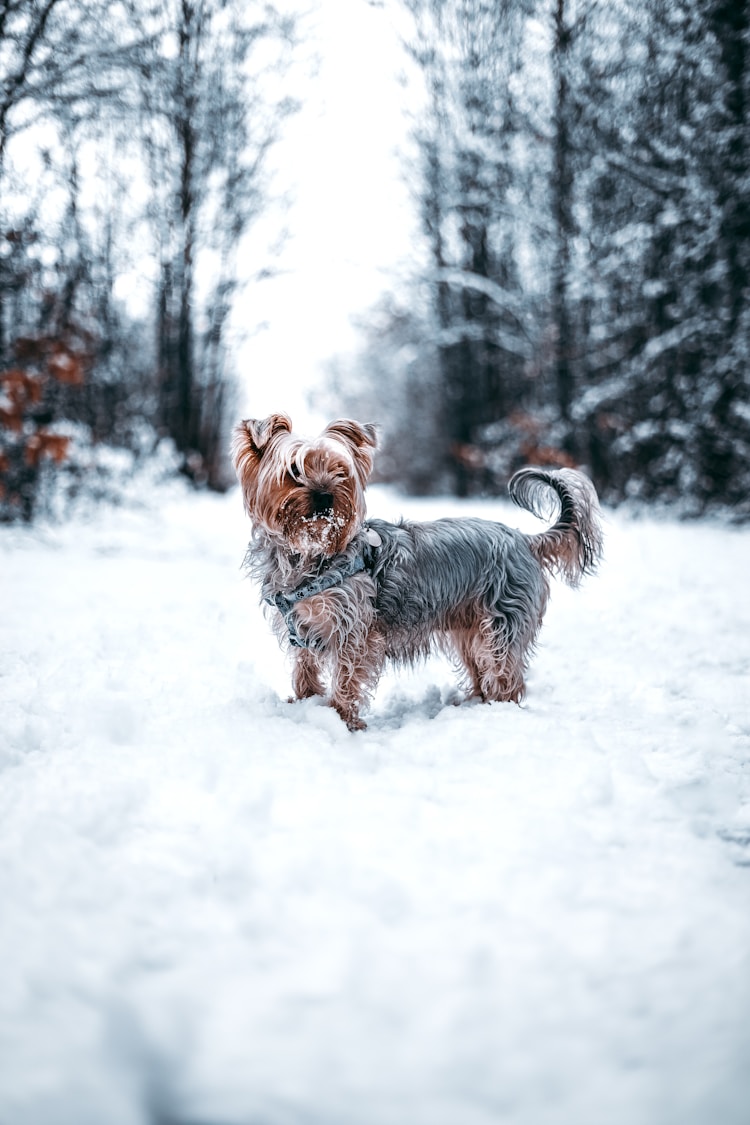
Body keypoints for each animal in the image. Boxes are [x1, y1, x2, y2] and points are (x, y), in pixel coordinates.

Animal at [232, 414, 602, 729]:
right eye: (293, 469)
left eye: (340, 472)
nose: (326, 495)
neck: (310, 554)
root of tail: (525, 540)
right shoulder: (302, 626)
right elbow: (304, 668)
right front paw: (304, 702)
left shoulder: (354, 629)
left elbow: (347, 677)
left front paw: (342, 719)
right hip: (469, 628)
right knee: (481, 668)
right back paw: (474, 705)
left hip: (501, 623)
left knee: (504, 672)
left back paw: (499, 712)